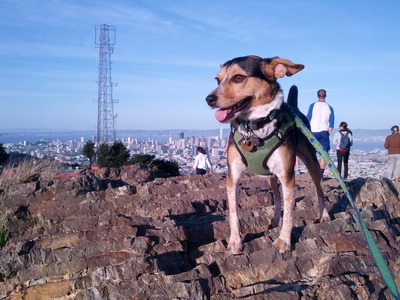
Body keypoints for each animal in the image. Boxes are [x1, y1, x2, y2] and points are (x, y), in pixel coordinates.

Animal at [205, 55, 330, 253]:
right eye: (218, 80)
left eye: (238, 77)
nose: (209, 99)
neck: (255, 127)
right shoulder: (233, 176)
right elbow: (233, 212)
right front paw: (235, 241)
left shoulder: (287, 176)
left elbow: (290, 211)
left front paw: (284, 241)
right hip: (269, 174)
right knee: (277, 196)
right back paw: (275, 218)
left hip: (312, 162)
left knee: (319, 190)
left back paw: (324, 214)